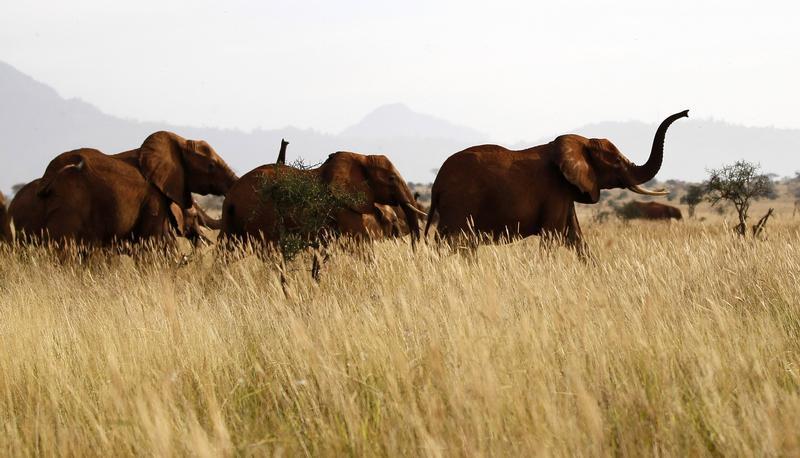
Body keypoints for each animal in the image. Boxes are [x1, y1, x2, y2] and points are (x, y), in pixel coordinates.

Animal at [220, 150, 424, 245]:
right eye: (391, 179)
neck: (361, 157)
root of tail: (230, 197)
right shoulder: (343, 206)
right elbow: (360, 243)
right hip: (261, 214)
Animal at [424, 109, 688, 256]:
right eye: (615, 162)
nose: (686, 112)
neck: (580, 143)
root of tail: (437, 183)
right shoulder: (554, 190)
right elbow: (553, 237)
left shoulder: (567, 192)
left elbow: (576, 238)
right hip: (460, 204)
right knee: (456, 243)